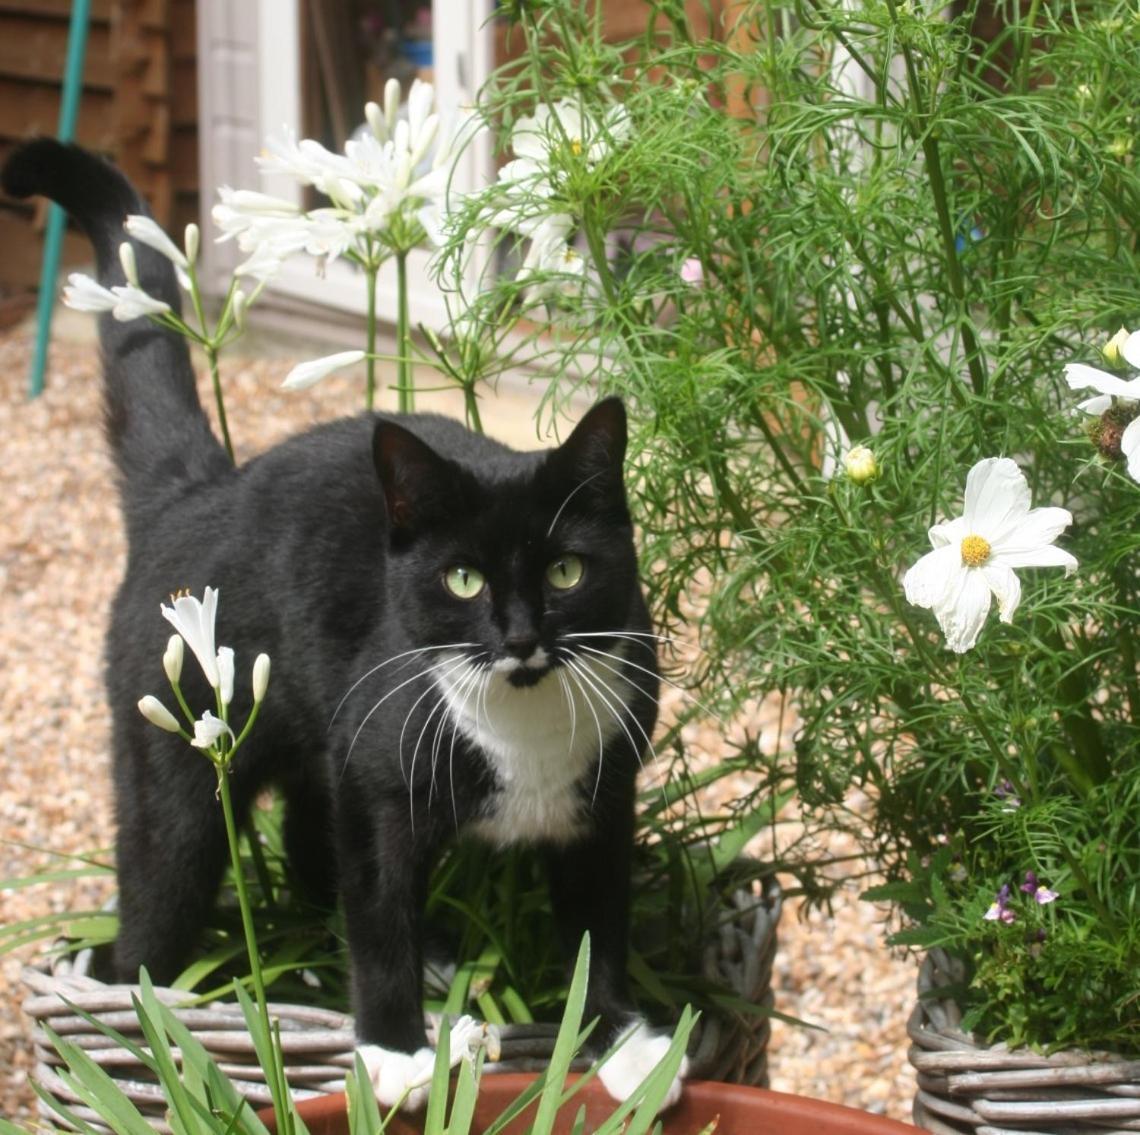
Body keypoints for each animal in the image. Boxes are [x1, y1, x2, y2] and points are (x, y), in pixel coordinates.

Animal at [2, 137, 684, 1103]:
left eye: (566, 570)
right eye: (463, 578)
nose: (520, 635)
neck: (522, 722)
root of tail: (199, 489)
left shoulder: (607, 794)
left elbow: (600, 924)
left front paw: (628, 1038)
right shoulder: (376, 781)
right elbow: (378, 911)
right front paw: (393, 1050)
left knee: (302, 841)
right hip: (177, 762)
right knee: (162, 890)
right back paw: (140, 999)